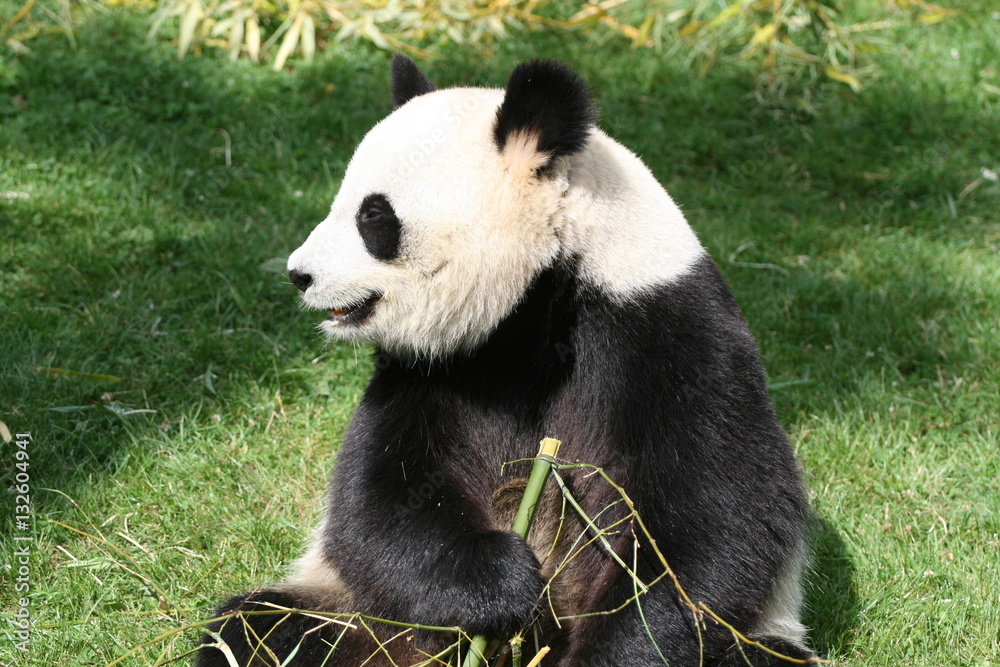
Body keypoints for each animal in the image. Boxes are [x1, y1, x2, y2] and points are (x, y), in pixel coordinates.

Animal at [197, 57, 814, 667]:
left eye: (374, 217)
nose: (299, 274)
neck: (537, 302)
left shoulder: (665, 329)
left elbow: (713, 519)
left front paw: (614, 649)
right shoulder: (432, 369)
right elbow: (380, 497)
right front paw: (504, 585)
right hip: (361, 615)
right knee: (264, 631)